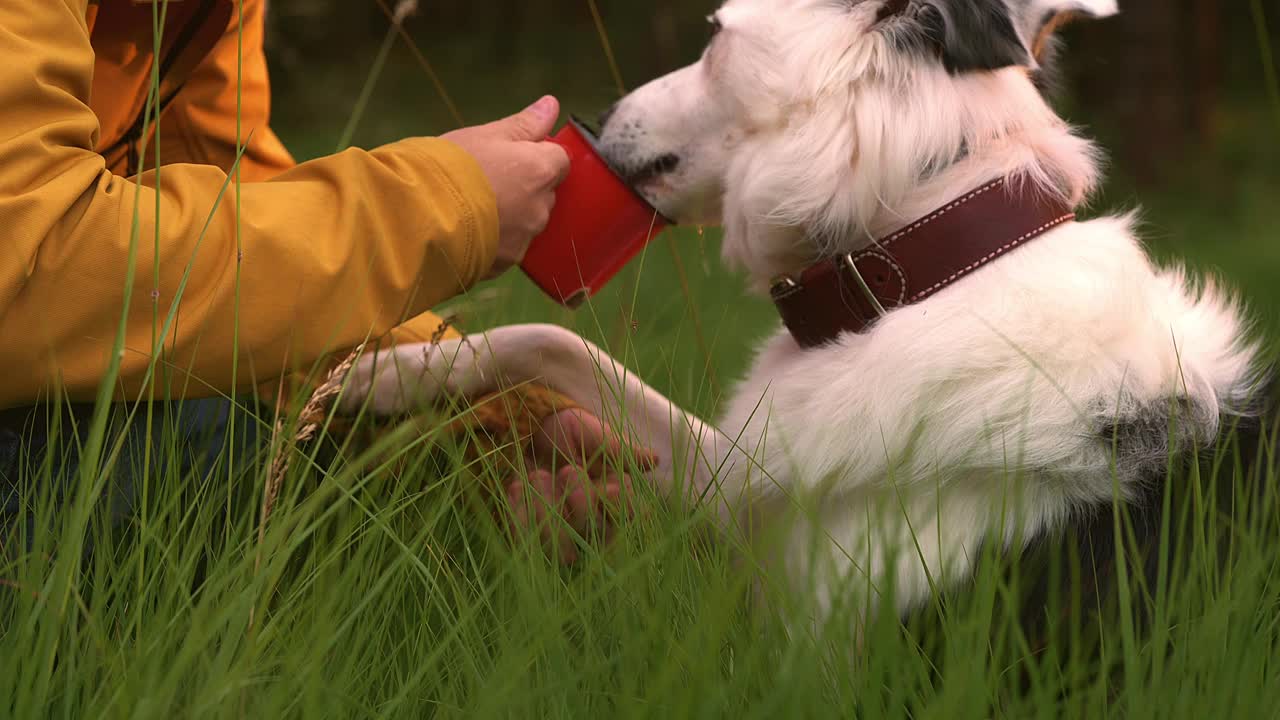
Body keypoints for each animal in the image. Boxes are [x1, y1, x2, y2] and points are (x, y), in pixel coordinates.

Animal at [343, 0, 1269, 627]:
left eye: (714, 32)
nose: (598, 120)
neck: (917, 270)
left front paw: (373, 378)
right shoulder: (747, 487)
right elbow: (566, 349)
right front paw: (386, 377)